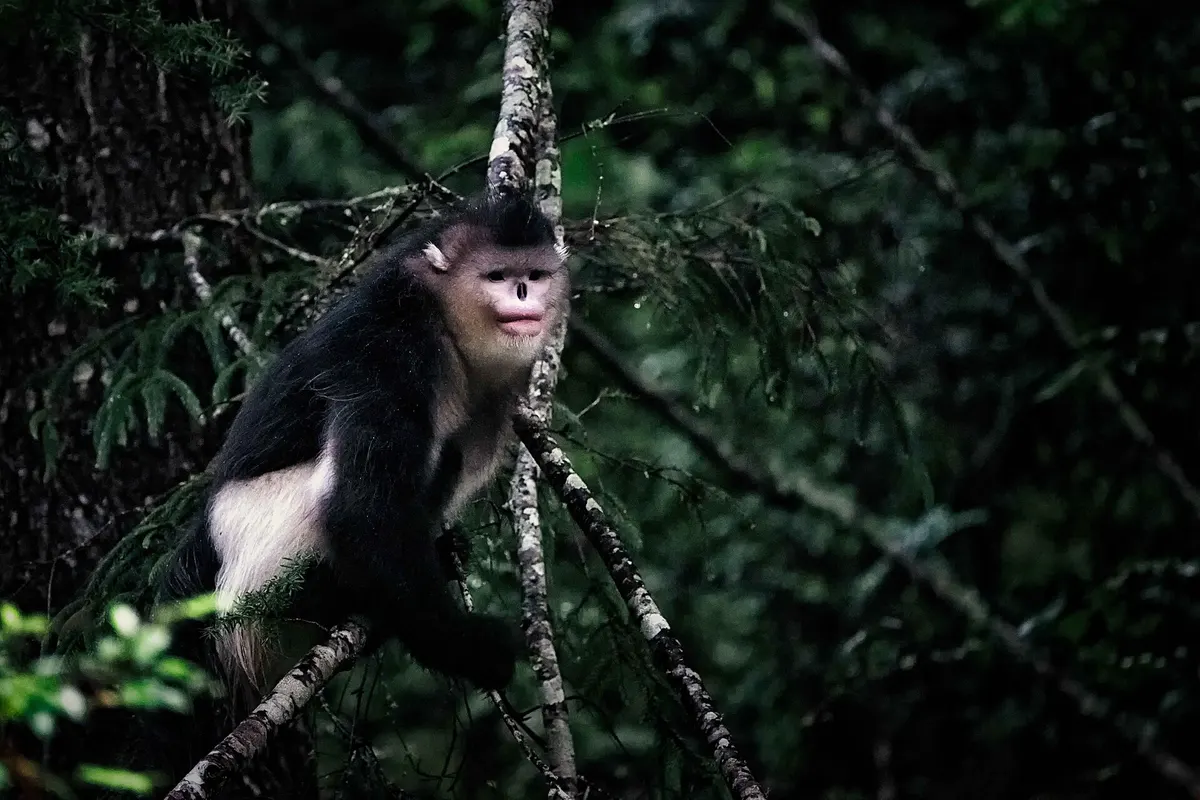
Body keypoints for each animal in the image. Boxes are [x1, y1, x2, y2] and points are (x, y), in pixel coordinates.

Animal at [156, 191, 570, 697]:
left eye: (535, 274)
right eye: (497, 276)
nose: (523, 293)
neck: (440, 317)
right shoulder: (391, 354)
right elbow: (361, 511)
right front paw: (470, 648)